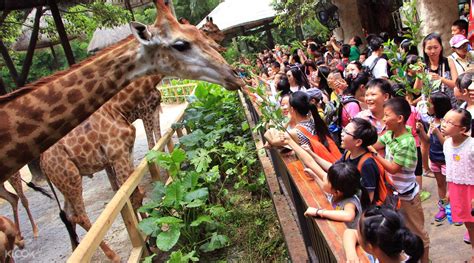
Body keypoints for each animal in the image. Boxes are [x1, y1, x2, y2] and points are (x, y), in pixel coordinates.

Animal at [0, 0, 244, 182]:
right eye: (181, 44)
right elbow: (152, 144)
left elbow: (157, 140)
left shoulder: (150, 112)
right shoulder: (144, 114)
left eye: (202, 34)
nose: (234, 74)